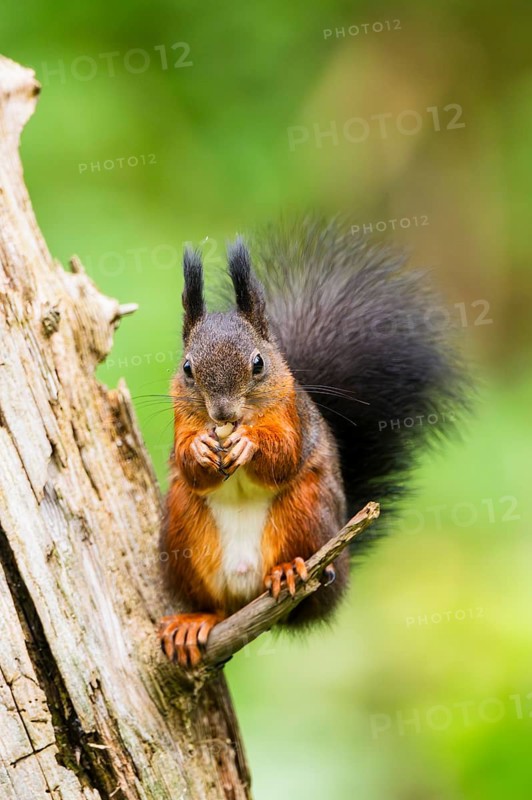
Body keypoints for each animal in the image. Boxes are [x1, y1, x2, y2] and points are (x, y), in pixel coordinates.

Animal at [159, 218, 465, 667]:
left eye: (258, 363)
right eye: (187, 368)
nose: (223, 414)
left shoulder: (295, 417)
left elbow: (284, 456)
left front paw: (249, 443)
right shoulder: (181, 420)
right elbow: (187, 465)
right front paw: (199, 449)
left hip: (307, 510)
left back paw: (288, 570)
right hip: (182, 530)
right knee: (214, 605)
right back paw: (194, 620)